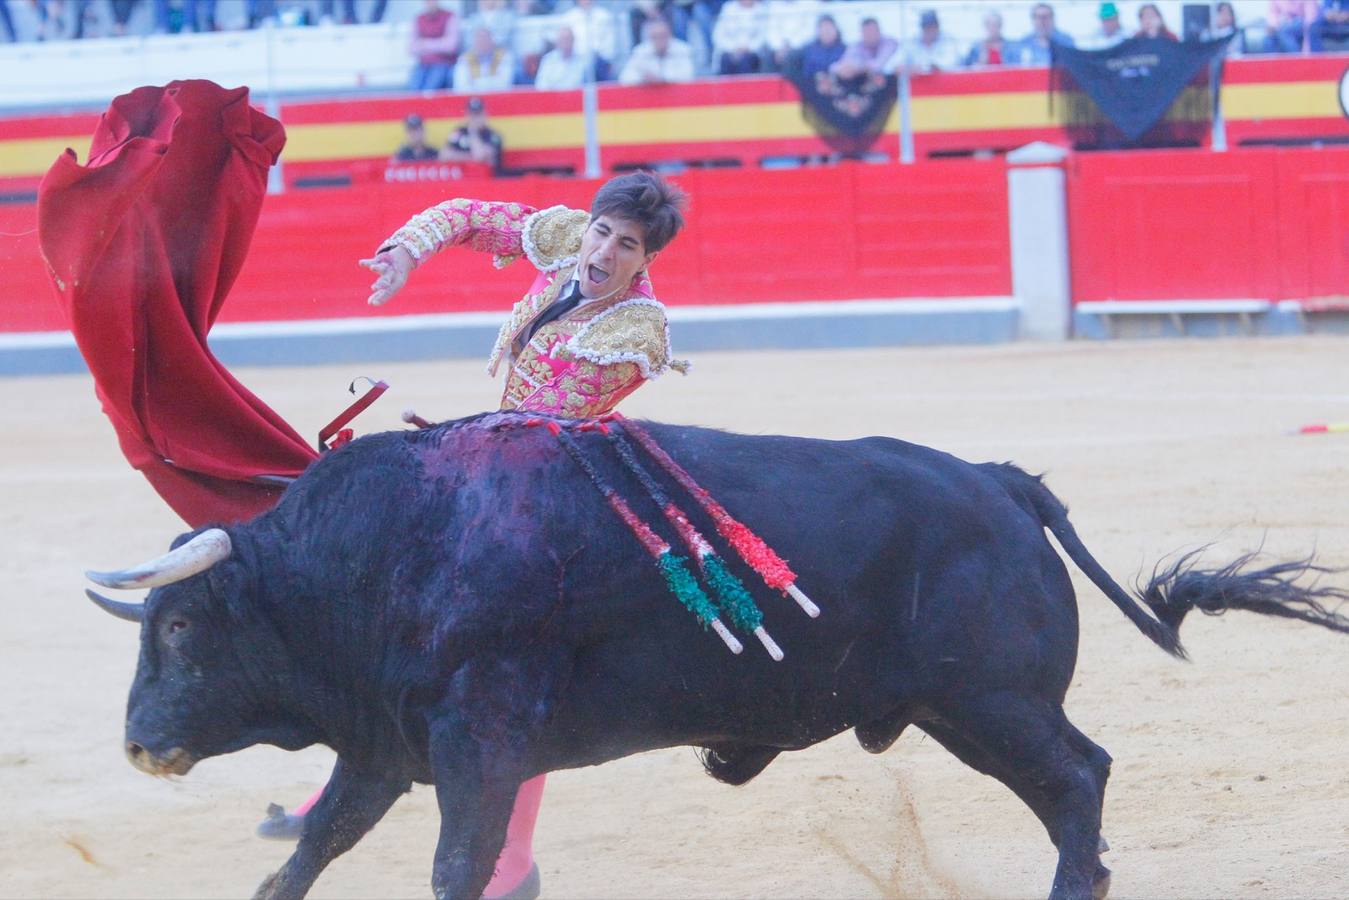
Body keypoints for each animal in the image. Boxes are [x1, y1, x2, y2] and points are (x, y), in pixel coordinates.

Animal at [84, 415, 1349, 900]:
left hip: (991, 701)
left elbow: (454, 862)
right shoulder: (388, 744)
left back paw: (1071, 886)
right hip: (963, 711)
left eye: (181, 628)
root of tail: (999, 480)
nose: (138, 746)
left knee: (1078, 776)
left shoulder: (474, 739)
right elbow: (312, 849)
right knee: (1071, 779)